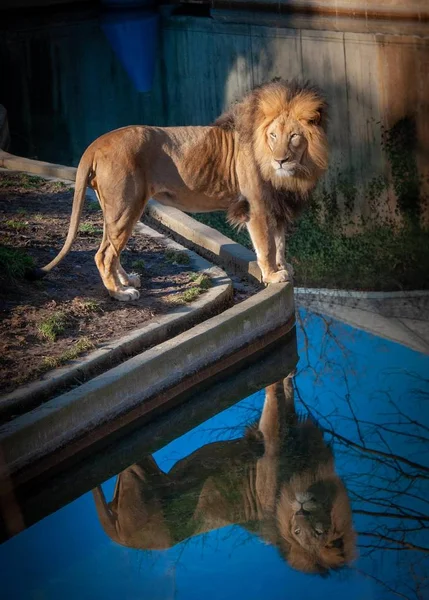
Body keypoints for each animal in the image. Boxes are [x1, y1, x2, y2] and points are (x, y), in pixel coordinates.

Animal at [35, 79, 328, 302]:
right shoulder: (256, 207)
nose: (281, 160)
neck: (293, 172)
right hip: (125, 207)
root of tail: (96, 143)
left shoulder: (278, 206)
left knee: (110, 249)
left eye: (294, 136)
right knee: (104, 254)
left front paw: (283, 267)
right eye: (273, 136)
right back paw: (119, 293)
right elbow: (266, 246)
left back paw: (128, 281)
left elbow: (279, 243)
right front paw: (273, 275)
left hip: (118, 209)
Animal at [93, 372, 354, 576]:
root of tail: (121, 539)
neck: (307, 477)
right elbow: (278, 400)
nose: (301, 509)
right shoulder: (270, 453)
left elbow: (285, 403)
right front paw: (283, 377)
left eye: (319, 532)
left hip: (141, 475)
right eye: (297, 532)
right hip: (138, 480)